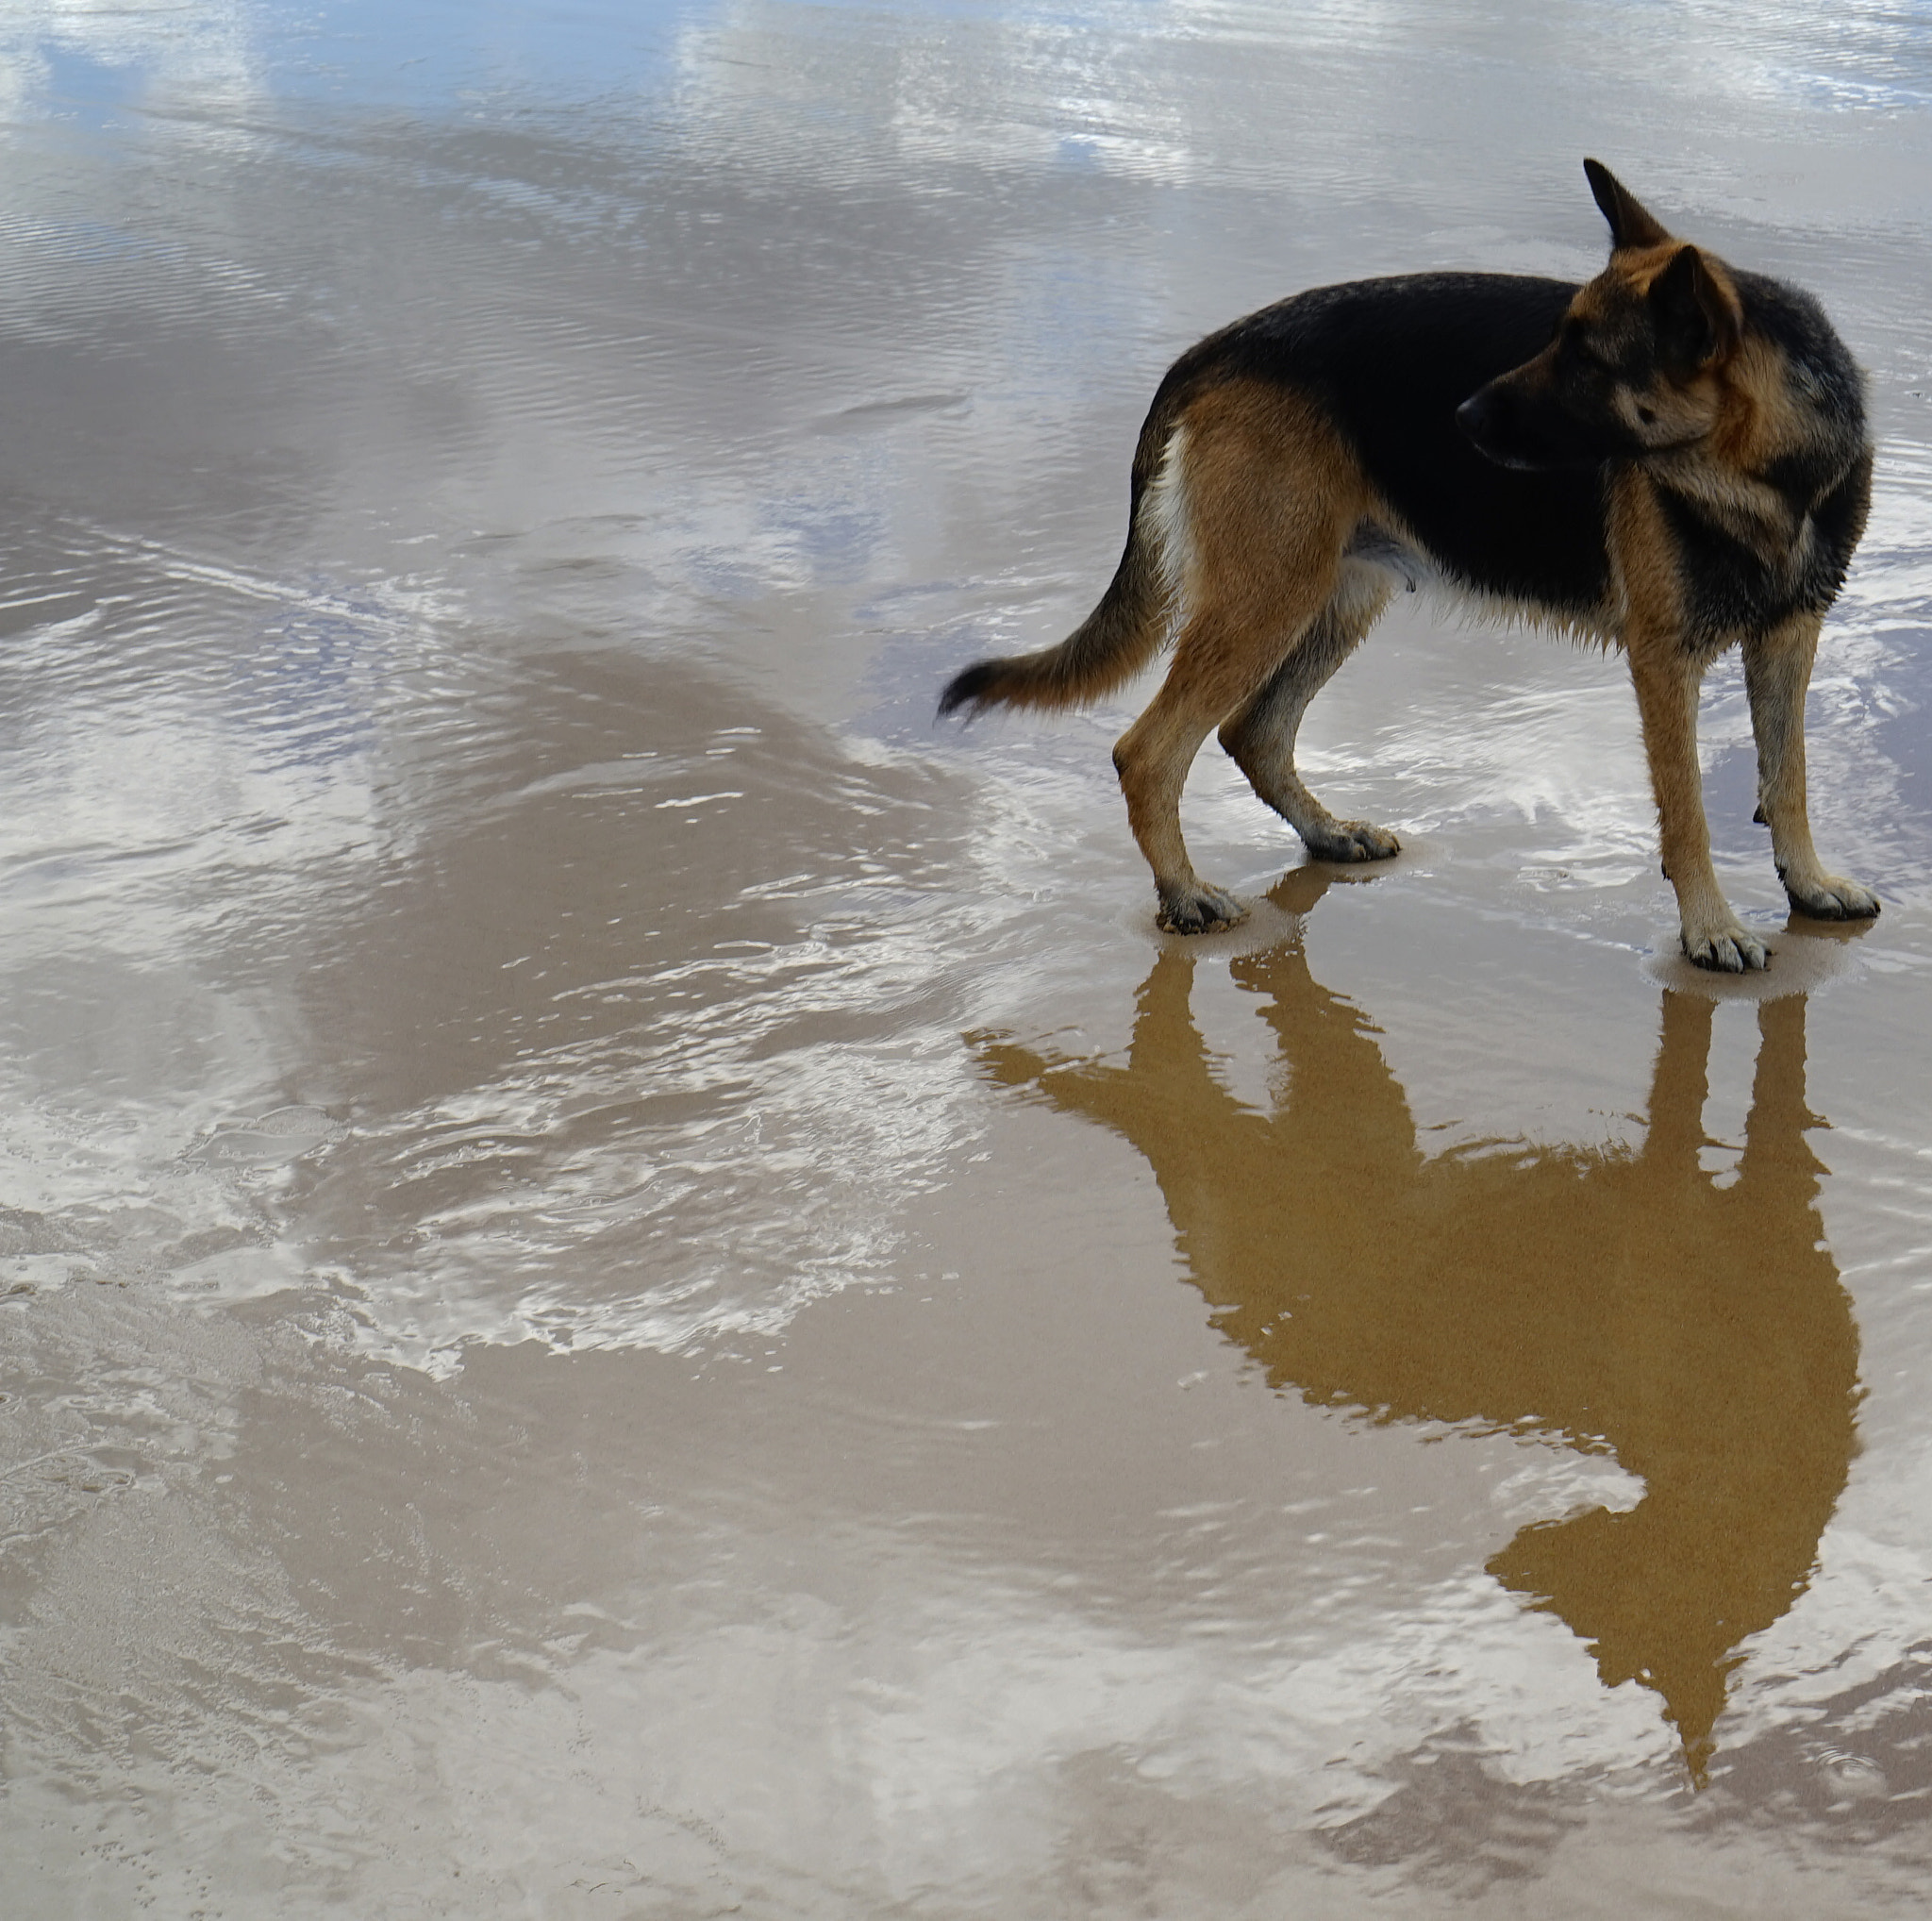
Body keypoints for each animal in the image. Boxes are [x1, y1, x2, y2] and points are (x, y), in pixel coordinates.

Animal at [942, 161, 1877, 974]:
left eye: (1586, 362)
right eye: (1556, 343)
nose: (1457, 416)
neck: (1770, 476)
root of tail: (1210, 351)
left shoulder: (1790, 636)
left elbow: (1788, 774)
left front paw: (1808, 883)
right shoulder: (1664, 661)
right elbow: (1687, 813)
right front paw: (1710, 928)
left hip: (1339, 594)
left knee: (1254, 729)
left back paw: (1323, 835)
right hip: (1270, 597)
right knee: (1149, 750)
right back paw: (1183, 893)